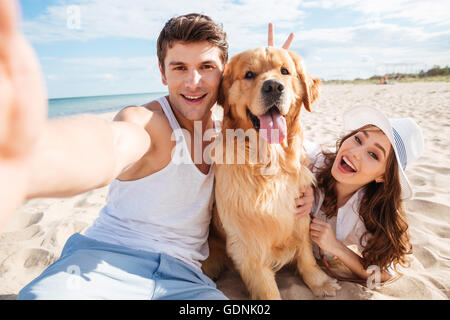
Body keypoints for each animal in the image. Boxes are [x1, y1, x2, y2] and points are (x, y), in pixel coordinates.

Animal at [201, 46, 342, 298]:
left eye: (284, 71)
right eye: (249, 74)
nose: (274, 87)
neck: (270, 162)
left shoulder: (299, 215)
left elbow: (306, 254)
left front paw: (320, 282)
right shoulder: (248, 243)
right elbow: (267, 289)